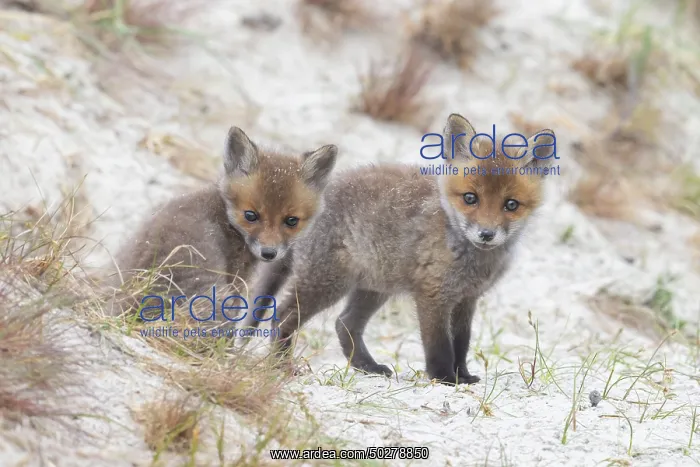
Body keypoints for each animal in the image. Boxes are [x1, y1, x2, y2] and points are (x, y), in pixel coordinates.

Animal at [261, 113, 554, 384]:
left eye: (511, 204)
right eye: (471, 198)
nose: (486, 234)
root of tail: (304, 208)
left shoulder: (466, 300)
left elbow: (461, 343)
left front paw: (463, 375)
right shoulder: (432, 295)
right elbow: (439, 346)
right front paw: (445, 378)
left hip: (373, 288)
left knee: (344, 323)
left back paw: (367, 366)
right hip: (326, 283)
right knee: (282, 319)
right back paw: (281, 366)